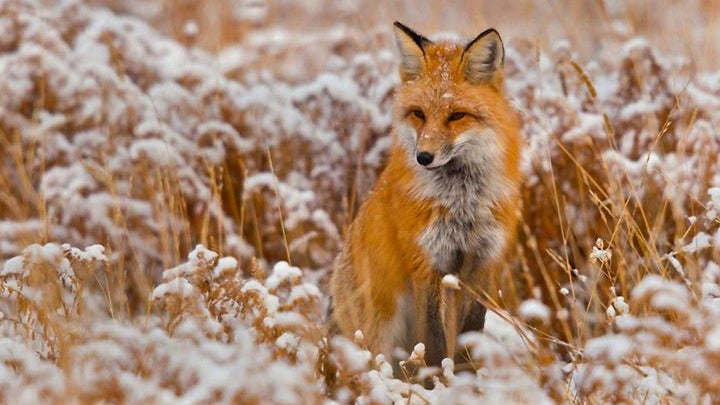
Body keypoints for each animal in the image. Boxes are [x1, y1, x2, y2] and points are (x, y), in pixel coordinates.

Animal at [330, 20, 520, 364]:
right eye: (418, 114)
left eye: (457, 115)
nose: (424, 157)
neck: (462, 202)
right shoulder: (427, 263)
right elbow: (432, 342)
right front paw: (437, 375)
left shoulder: (483, 263)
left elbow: (470, 335)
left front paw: (464, 375)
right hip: (380, 331)